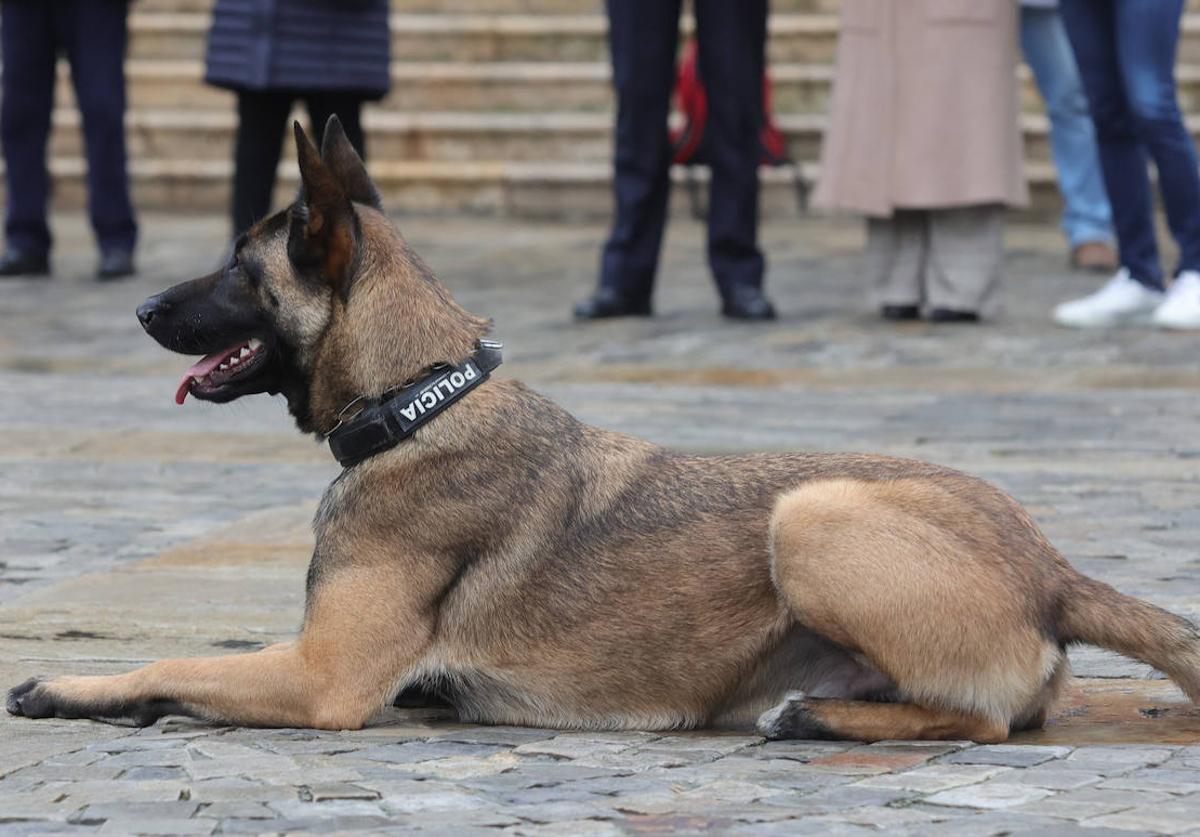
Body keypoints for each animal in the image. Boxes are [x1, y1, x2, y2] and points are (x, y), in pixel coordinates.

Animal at [9, 118, 1200, 743]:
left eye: (235, 268)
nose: (140, 308)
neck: (419, 398)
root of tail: (1053, 566)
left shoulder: (320, 679)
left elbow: (170, 657)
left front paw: (69, 688)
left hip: (814, 514)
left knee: (990, 720)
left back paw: (816, 720)